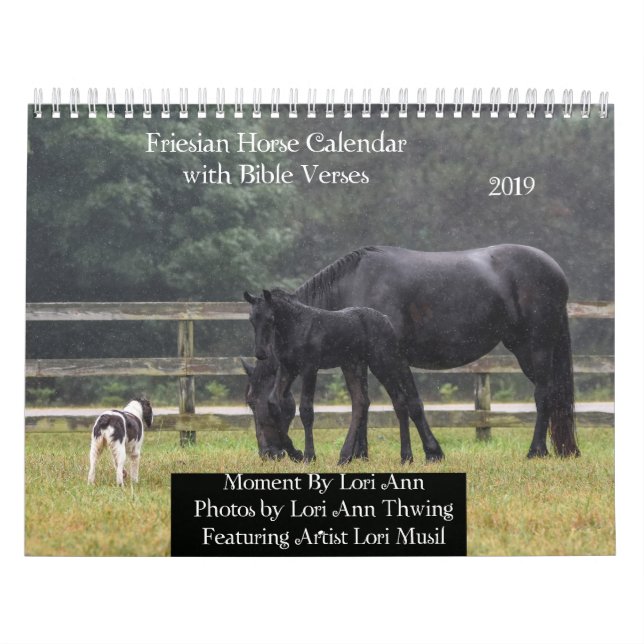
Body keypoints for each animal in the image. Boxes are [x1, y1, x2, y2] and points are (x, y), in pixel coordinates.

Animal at [243, 289, 444, 464]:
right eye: (252, 319)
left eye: (270, 318)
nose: (260, 353)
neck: (297, 326)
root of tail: (386, 320)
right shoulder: (288, 369)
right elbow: (273, 402)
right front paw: (296, 453)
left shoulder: (309, 368)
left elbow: (306, 410)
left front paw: (309, 456)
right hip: (352, 365)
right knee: (362, 402)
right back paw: (348, 457)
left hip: (382, 361)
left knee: (399, 400)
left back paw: (406, 457)